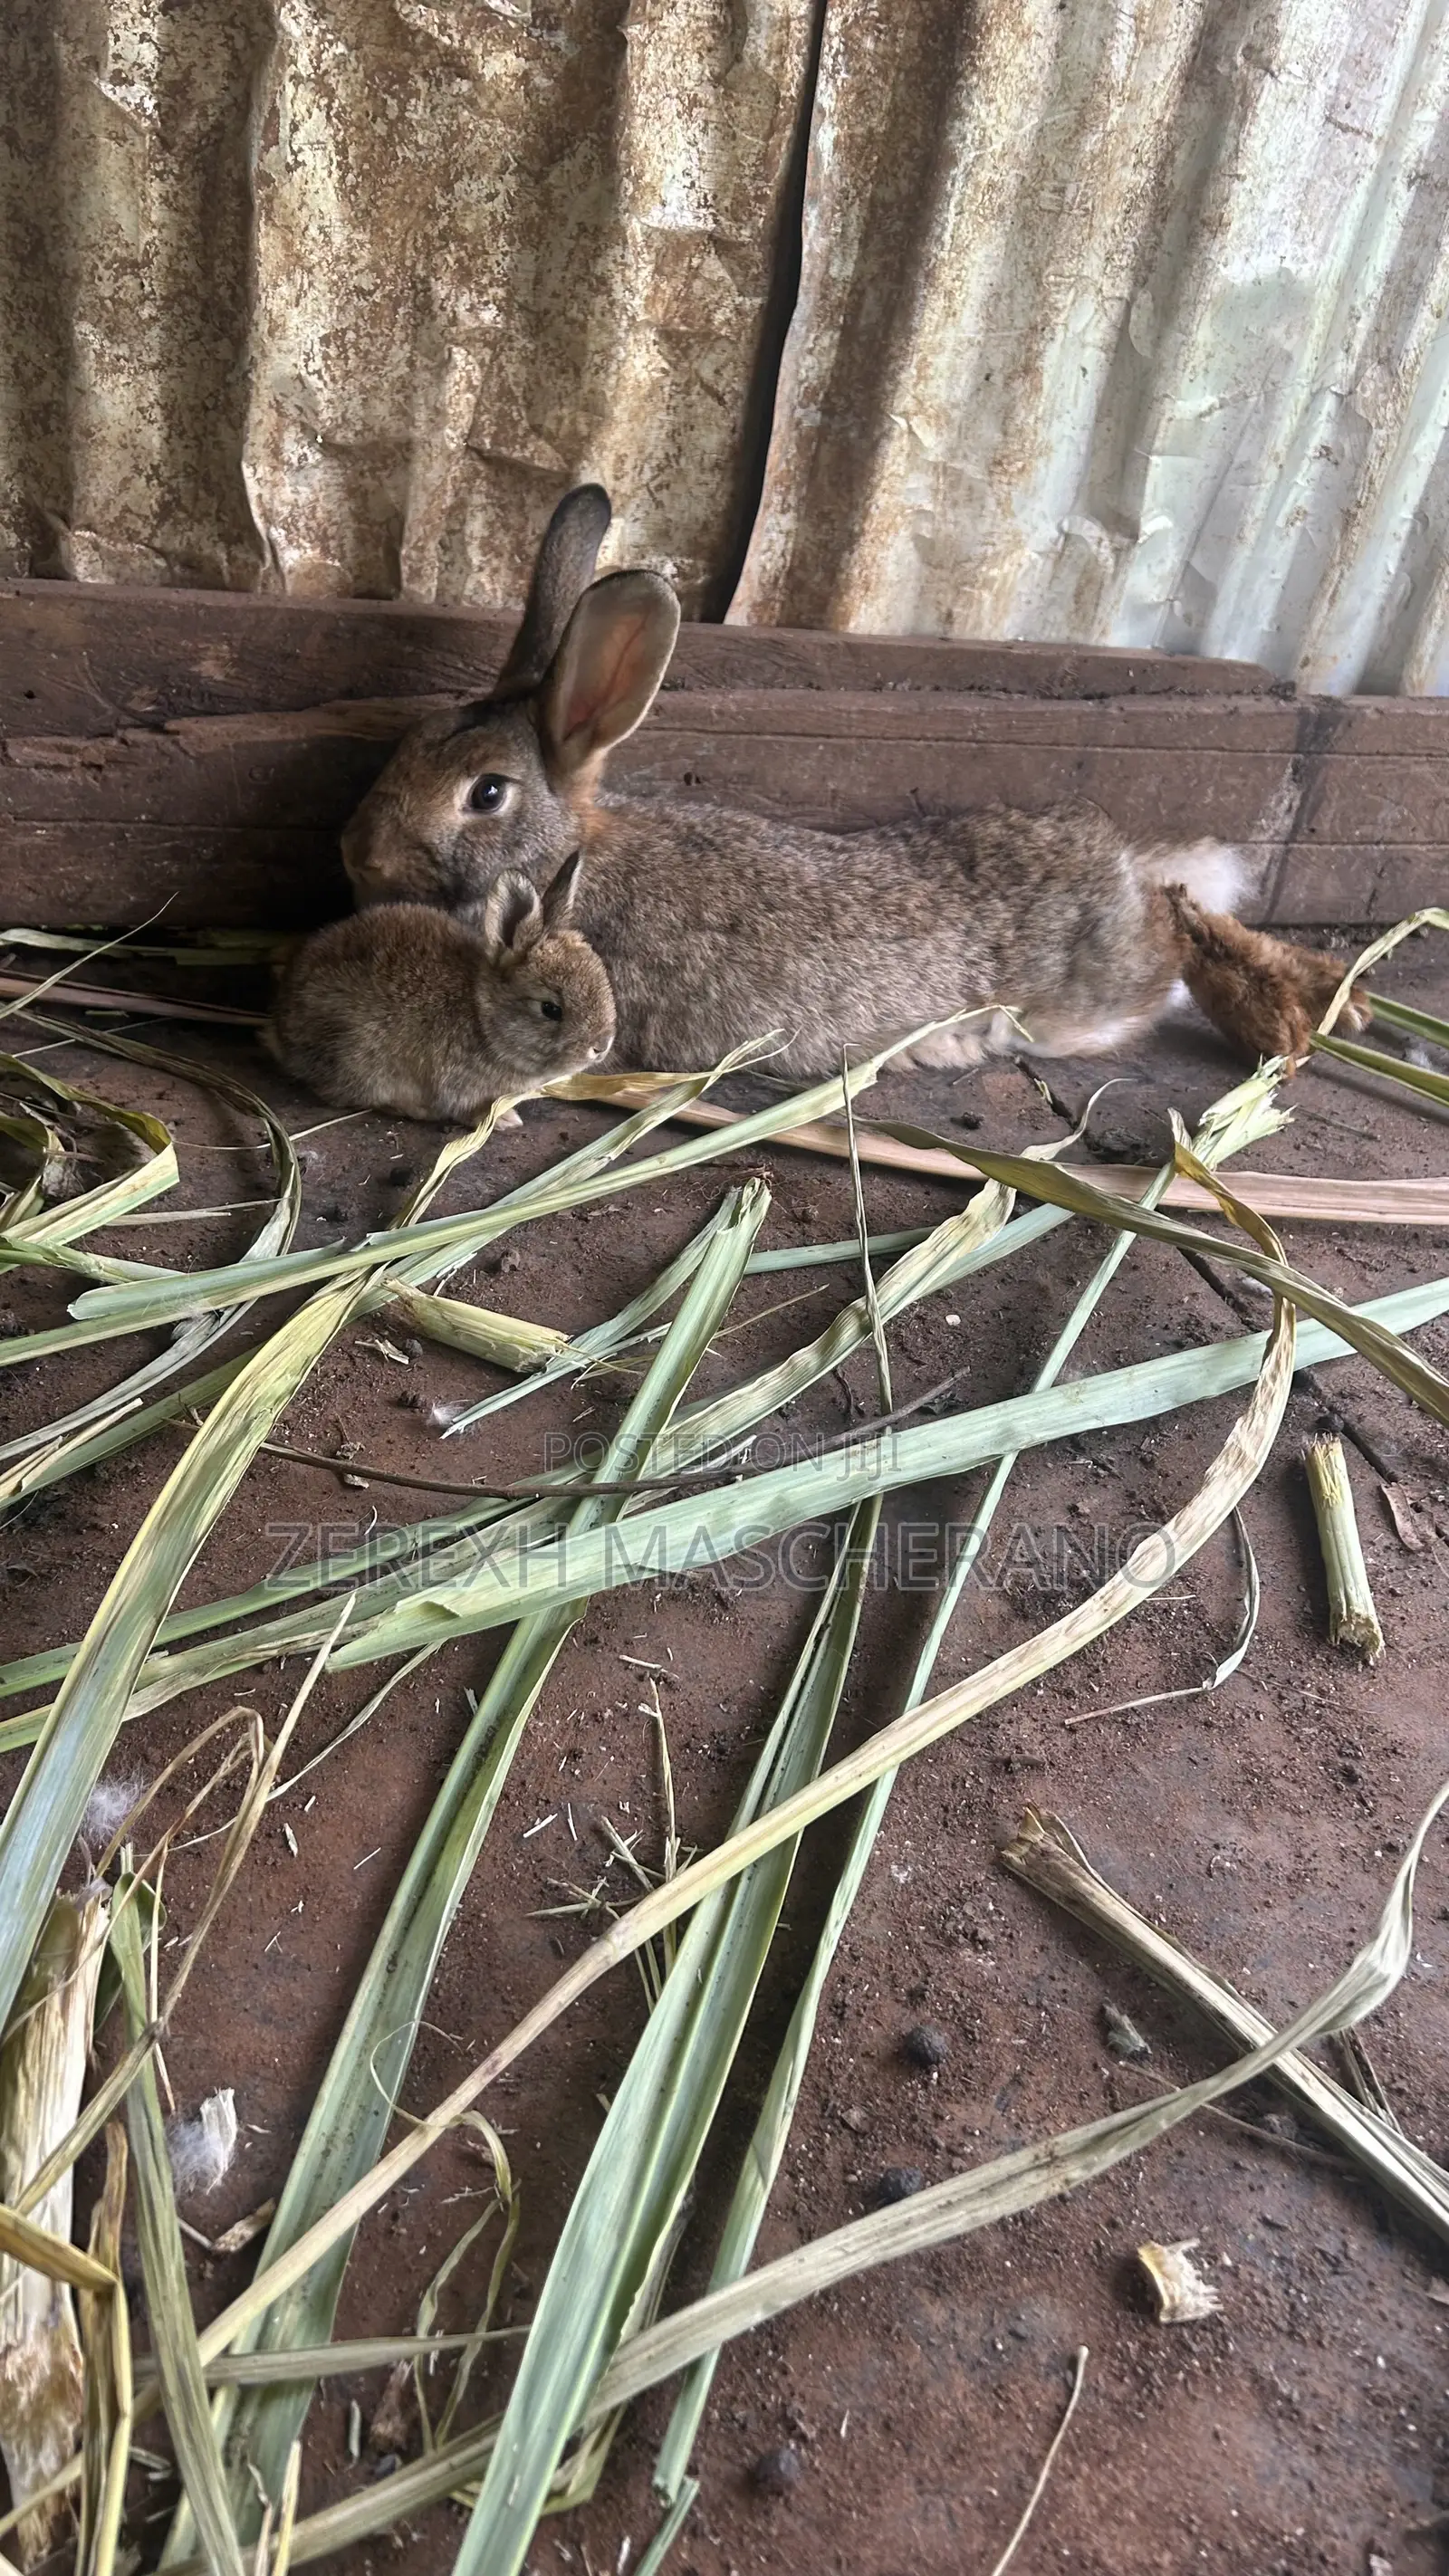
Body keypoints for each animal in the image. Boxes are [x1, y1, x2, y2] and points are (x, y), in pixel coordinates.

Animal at [265, 850, 615, 1120]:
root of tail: (281, 1030)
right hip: (359, 1058)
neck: (482, 1015)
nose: (601, 1046)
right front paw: (504, 1120)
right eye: (550, 1009)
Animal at [341, 484, 1373, 1080]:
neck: (571, 850)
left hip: (1103, 985)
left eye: (485, 794)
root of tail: (1118, 870)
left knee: (1180, 942)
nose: (358, 855)